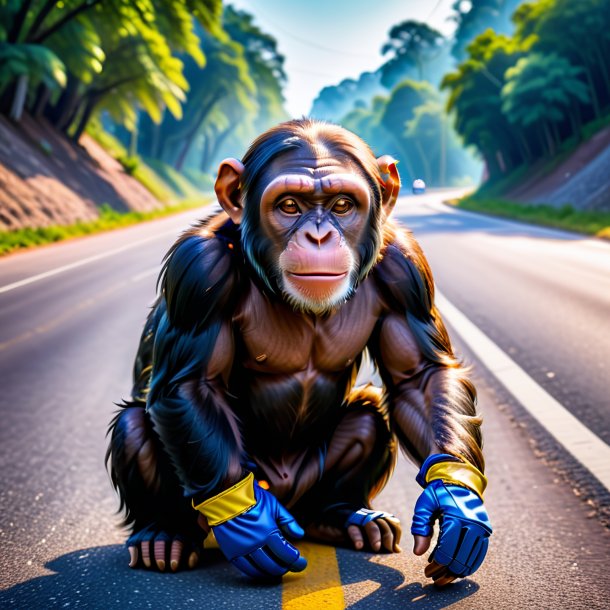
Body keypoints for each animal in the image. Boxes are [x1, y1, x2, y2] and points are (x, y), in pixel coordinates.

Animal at [107, 117, 492, 584]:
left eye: (343, 205)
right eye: (289, 205)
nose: (319, 235)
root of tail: (289, 499)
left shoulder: (407, 268)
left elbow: (420, 376)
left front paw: (456, 501)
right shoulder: (197, 270)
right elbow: (191, 384)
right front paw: (247, 522)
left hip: (308, 490)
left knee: (370, 413)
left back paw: (346, 517)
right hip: (243, 495)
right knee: (133, 423)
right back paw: (164, 533)